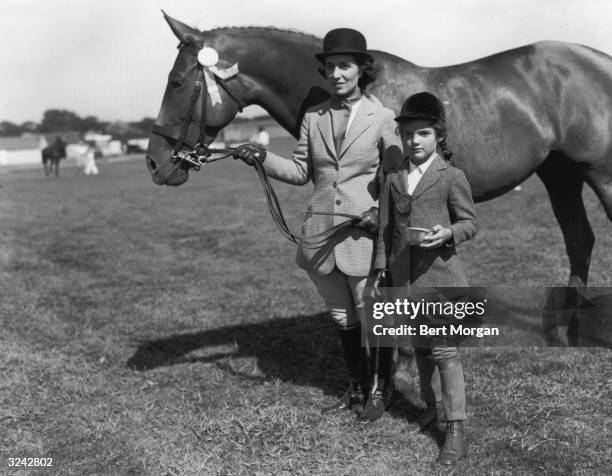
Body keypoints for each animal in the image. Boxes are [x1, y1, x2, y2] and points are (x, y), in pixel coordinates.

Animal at [147, 13, 612, 344]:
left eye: (177, 80)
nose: (155, 163)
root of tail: (598, 60)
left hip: (599, 173)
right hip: (560, 175)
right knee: (580, 240)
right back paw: (561, 329)